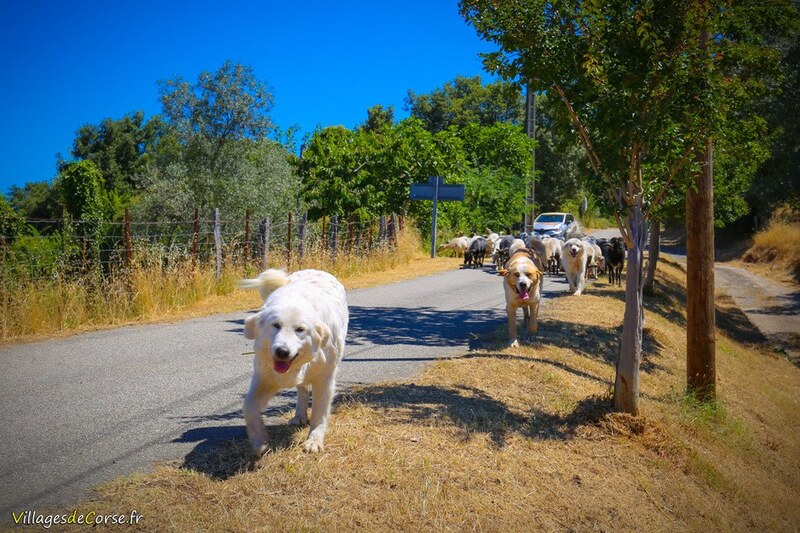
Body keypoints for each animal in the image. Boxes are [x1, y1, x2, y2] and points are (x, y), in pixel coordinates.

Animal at [239, 270, 348, 454]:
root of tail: (315, 270)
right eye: (276, 325)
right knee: (302, 390)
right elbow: (248, 406)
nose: (282, 352)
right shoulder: (265, 378)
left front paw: (314, 440)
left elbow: (319, 413)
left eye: (300, 330)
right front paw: (259, 440)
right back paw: (299, 416)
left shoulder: (325, 379)